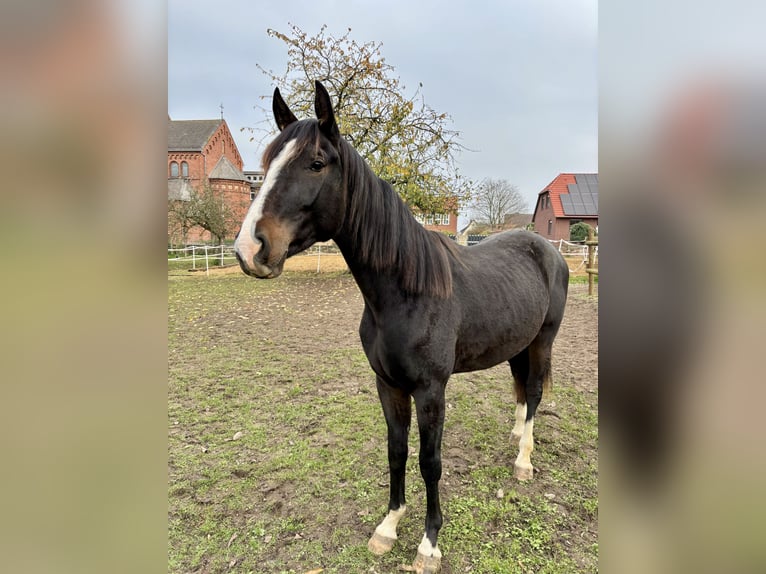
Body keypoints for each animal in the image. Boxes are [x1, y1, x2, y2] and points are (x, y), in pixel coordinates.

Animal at [234, 81, 568, 574]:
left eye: (316, 163)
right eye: (267, 163)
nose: (249, 248)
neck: (404, 293)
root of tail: (545, 247)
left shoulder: (431, 390)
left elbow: (430, 461)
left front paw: (428, 544)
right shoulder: (387, 385)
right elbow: (396, 452)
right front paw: (389, 526)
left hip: (543, 339)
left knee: (536, 391)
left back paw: (523, 460)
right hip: (516, 345)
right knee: (523, 392)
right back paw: (516, 435)